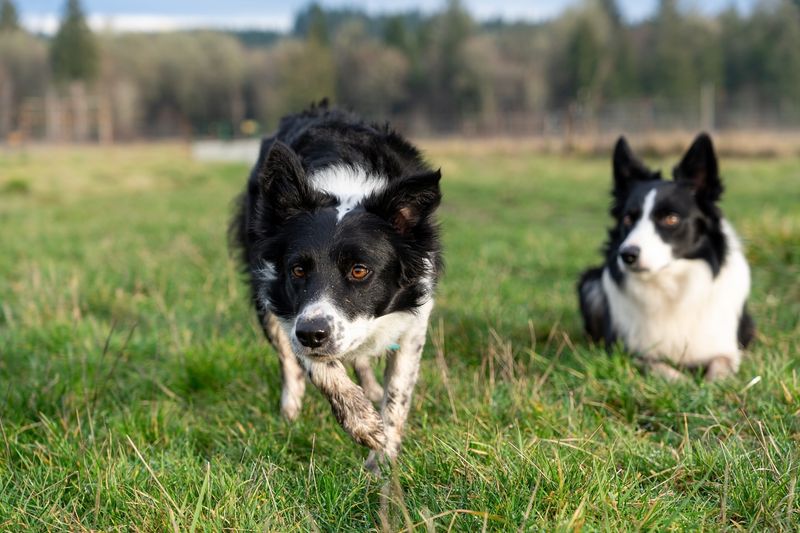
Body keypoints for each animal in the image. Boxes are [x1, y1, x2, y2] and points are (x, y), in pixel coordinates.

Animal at [231, 102, 444, 468]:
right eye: (298, 270)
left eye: (359, 271)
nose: (312, 335)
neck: (347, 190)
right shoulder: (286, 304)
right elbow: (319, 367)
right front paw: (363, 423)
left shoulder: (415, 312)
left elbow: (398, 392)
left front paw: (382, 460)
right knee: (290, 363)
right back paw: (290, 413)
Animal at [580, 135, 752, 380]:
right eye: (628, 219)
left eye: (671, 219)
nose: (627, 255)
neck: (670, 286)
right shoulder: (629, 352)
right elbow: (661, 367)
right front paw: (685, 383)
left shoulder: (726, 349)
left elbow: (720, 367)